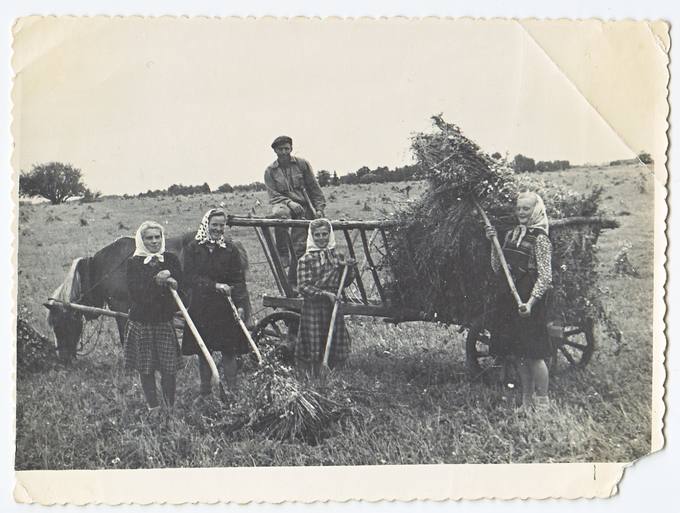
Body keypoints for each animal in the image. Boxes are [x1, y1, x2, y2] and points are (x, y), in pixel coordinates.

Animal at [45, 232, 252, 360]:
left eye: (59, 325)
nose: (63, 358)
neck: (102, 268)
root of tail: (234, 243)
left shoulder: (120, 306)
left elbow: (123, 335)